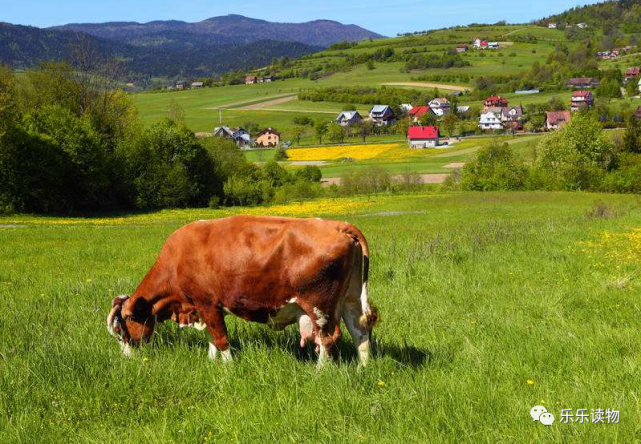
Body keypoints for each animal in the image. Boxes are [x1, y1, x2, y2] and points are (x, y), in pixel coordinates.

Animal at [105, 214, 376, 364]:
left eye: (121, 328)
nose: (126, 358)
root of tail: (337, 225)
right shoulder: (202, 307)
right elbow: (211, 336)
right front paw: (211, 361)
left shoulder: (207, 303)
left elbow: (221, 338)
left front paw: (227, 366)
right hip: (350, 298)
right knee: (359, 331)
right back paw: (363, 368)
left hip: (320, 306)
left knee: (327, 339)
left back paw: (320, 372)